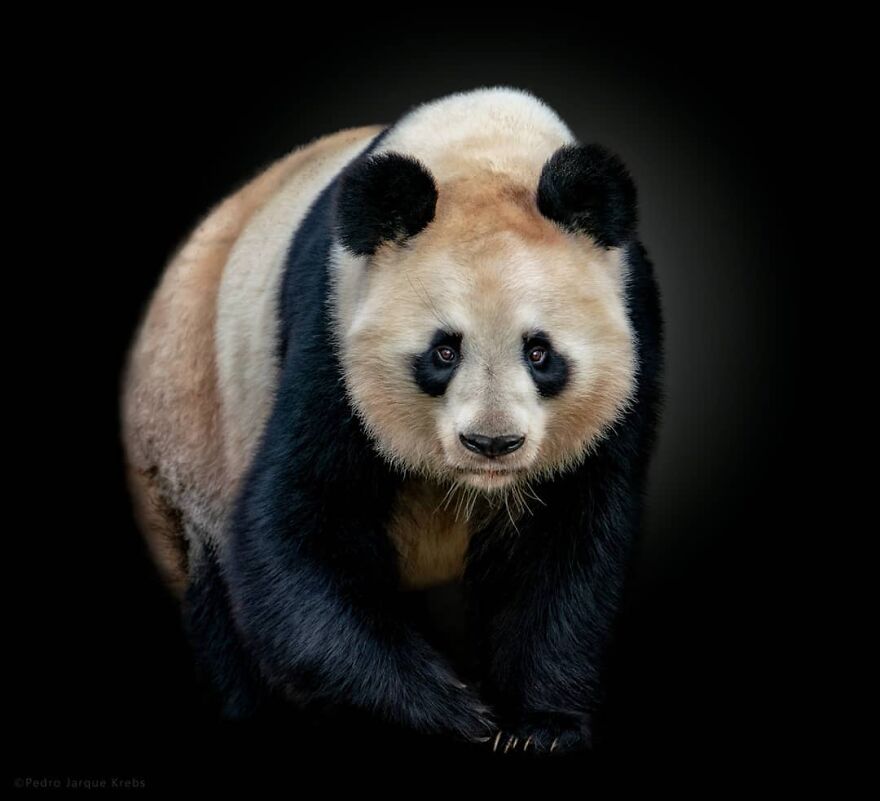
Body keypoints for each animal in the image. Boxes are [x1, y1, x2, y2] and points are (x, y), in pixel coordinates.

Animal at [121, 87, 663, 754]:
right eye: (444, 351)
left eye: (539, 353)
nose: (492, 443)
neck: (485, 148)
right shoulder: (330, 336)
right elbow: (297, 526)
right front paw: (453, 713)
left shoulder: (633, 332)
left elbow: (568, 545)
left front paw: (540, 727)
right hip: (186, 437)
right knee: (217, 593)